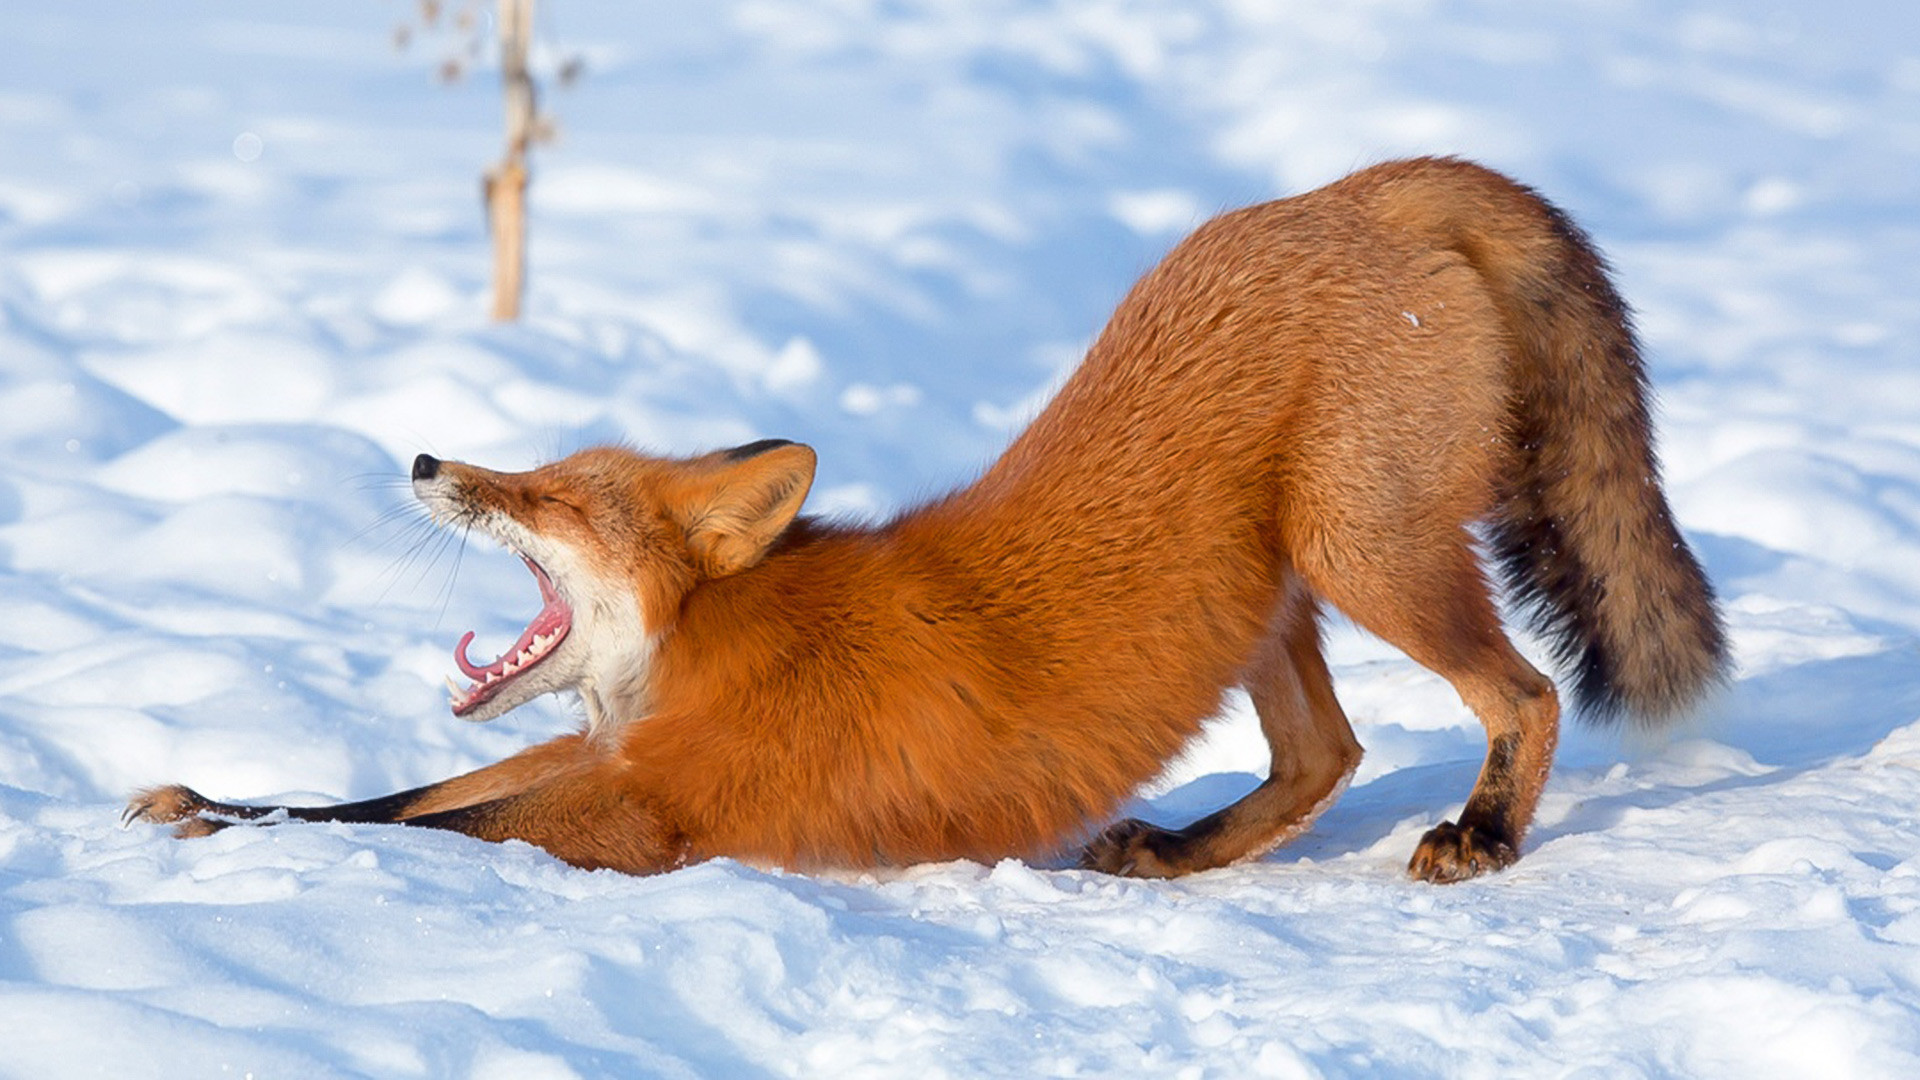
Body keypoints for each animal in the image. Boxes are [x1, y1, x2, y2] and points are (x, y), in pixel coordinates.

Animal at [131, 159, 1728, 883]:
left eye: (552, 496)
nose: (424, 459)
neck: (706, 656)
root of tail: (1352, 191)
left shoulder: (657, 809)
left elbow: (446, 830)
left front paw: (230, 841)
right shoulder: (602, 756)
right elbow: (395, 797)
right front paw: (212, 802)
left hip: (1367, 556)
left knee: (1521, 696)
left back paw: (1482, 833)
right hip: (1278, 595)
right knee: (1324, 758)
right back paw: (1182, 854)